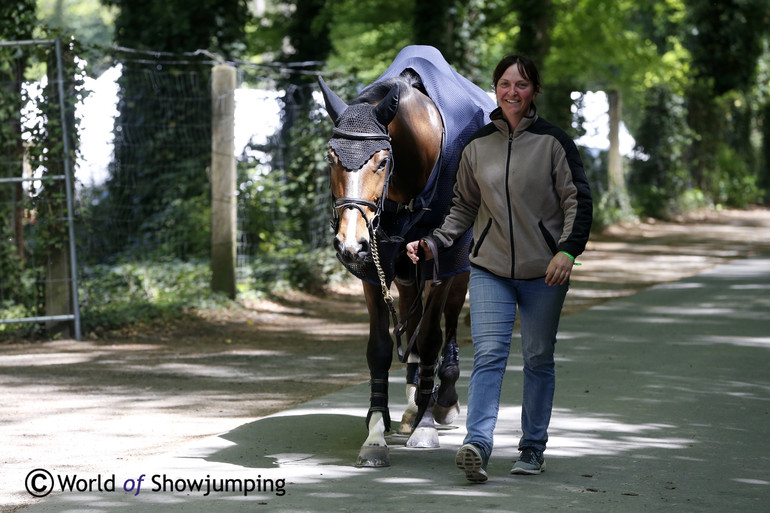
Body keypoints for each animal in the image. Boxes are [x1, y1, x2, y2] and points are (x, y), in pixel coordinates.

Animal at [318, 46, 492, 466]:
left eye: (382, 161)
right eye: (331, 158)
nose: (349, 242)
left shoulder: (442, 263)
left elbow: (429, 338)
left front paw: (427, 425)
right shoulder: (374, 268)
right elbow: (381, 349)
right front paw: (375, 432)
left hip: (455, 269)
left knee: (446, 322)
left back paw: (440, 401)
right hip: (402, 270)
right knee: (411, 319)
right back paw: (414, 405)